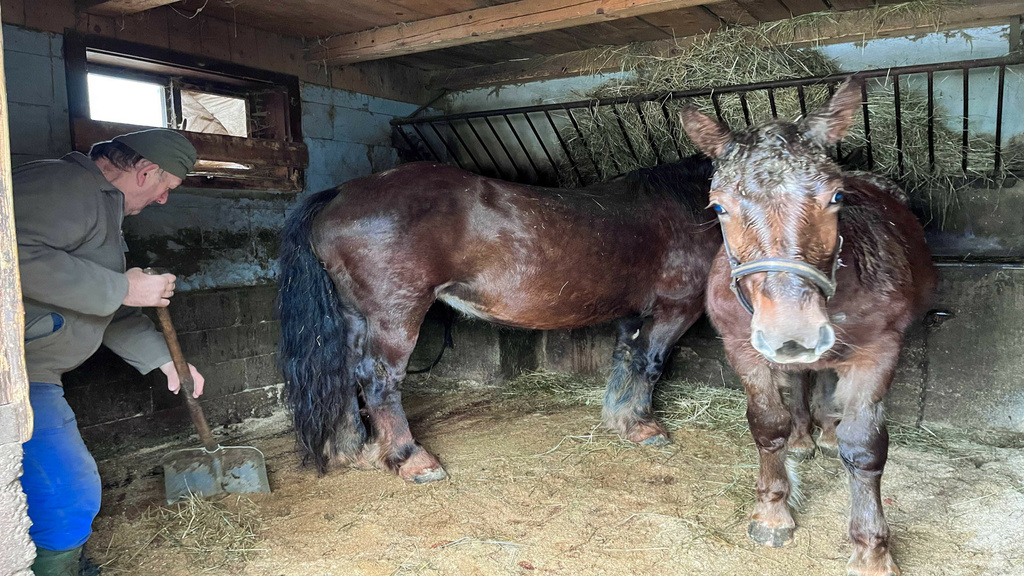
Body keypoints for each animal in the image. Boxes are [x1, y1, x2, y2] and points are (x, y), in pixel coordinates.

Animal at [274, 154, 720, 481]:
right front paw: (645, 427)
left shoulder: (634, 314)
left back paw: (353, 449)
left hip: (354, 316)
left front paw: (621, 420)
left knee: (346, 372)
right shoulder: (675, 308)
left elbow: (627, 360)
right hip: (395, 315)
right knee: (378, 379)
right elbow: (650, 365)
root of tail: (339, 193)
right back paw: (411, 458)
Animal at [684, 79, 933, 573]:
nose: (792, 333)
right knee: (801, 382)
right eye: (718, 207)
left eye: (836, 197)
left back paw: (828, 432)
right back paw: (802, 438)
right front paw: (772, 512)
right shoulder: (742, 348)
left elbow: (864, 445)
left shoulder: (878, 351)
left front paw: (872, 550)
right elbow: (767, 425)